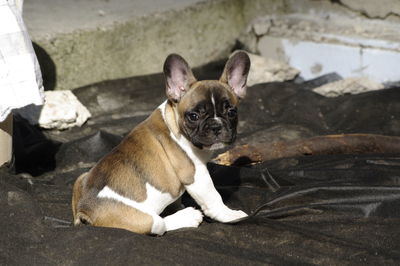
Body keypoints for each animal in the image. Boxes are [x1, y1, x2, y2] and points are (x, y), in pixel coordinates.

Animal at [72, 50, 250, 235]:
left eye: (232, 112)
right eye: (193, 116)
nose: (216, 125)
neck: (174, 122)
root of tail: (84, 209)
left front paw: (178, 204)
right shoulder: (195, 174)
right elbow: (213, 196)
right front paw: (229, 215)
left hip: (80, 177)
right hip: (142, 218)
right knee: (159, 224)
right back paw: (186, 217)